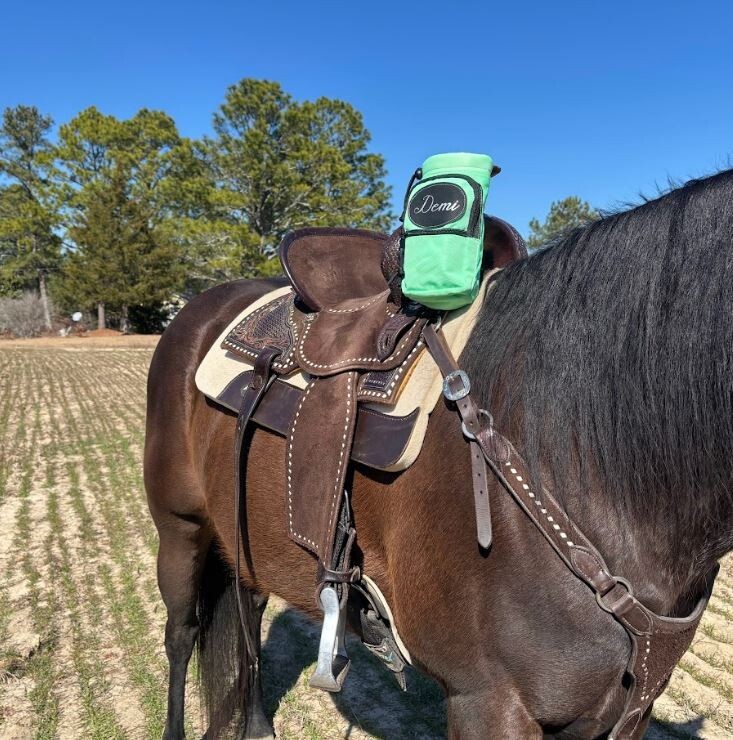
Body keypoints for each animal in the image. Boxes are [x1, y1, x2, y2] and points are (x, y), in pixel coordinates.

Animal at [144, 168, 733, 739]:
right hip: (180, 528)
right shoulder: (488, 703)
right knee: (181, 633)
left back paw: (259, 725)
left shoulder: (626, 708)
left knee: (249, 609)